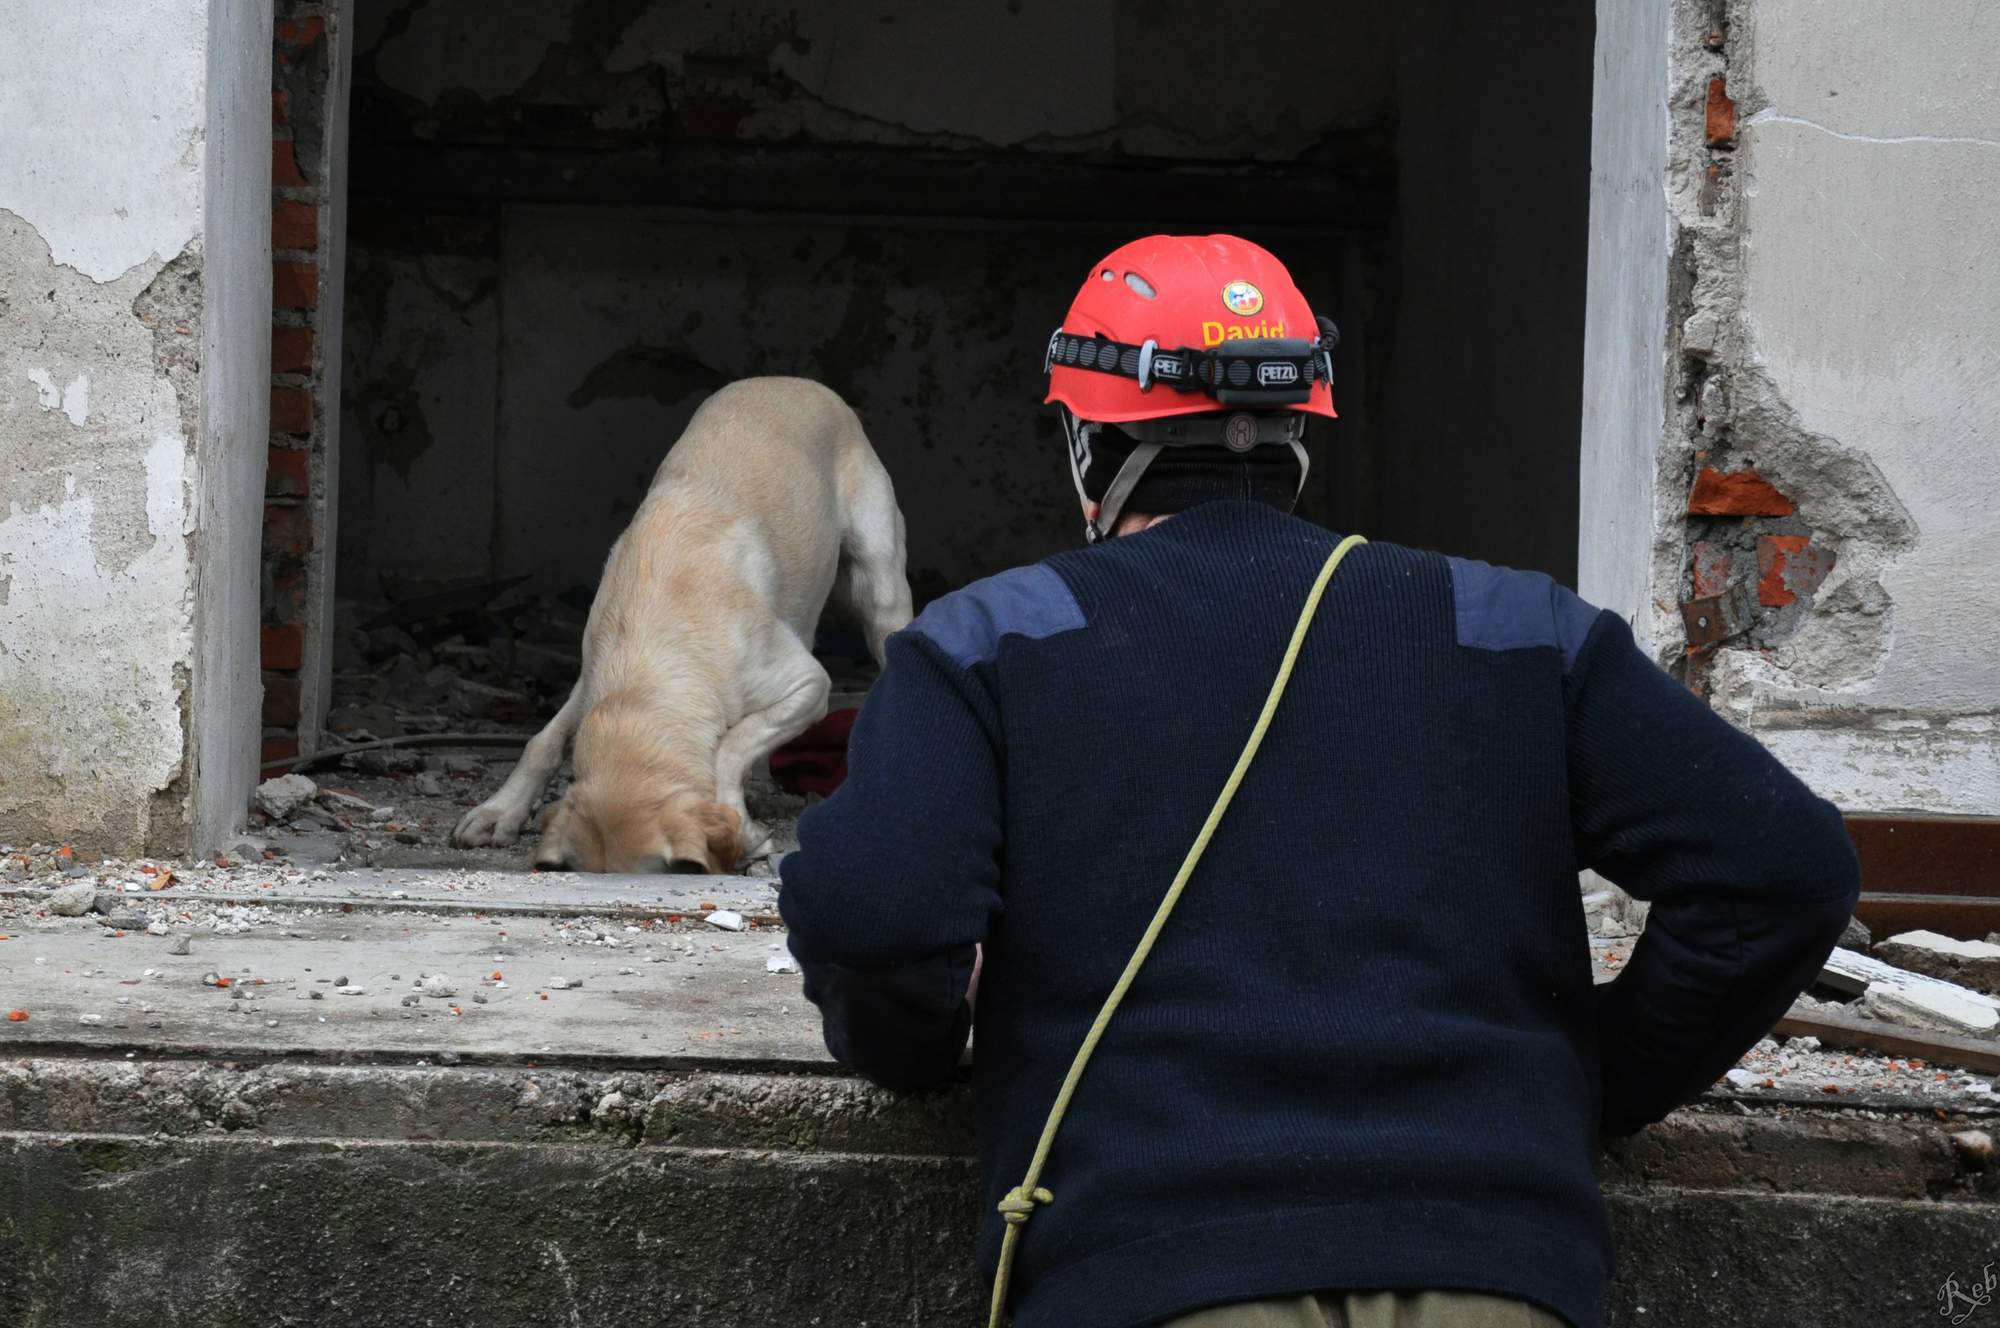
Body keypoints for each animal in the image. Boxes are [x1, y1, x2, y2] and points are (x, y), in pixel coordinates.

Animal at [450, 376, 912, 872]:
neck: (649, 666)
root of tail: (799, 381)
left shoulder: (809, 685)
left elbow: (730, 747)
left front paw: (739, 822)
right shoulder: (592, 670)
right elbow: (544, 740)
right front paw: (500, 811)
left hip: (881, 592)